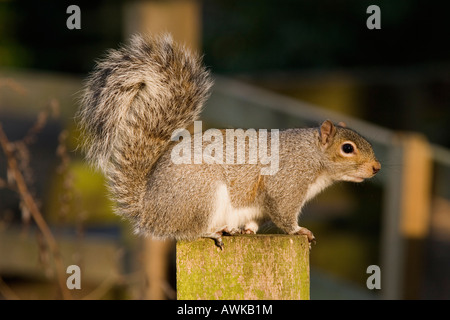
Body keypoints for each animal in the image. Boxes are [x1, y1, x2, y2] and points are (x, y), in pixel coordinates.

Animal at [77, 33, 380, 249]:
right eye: (347, 149)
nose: (376, 168)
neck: (312, 154)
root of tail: (149, 211)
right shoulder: (285, 182)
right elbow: (283, 213)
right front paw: (299, 231)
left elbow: (256, 219)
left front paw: (248, 229)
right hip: (203, 194)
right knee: (188, 232)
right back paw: (213, 231)